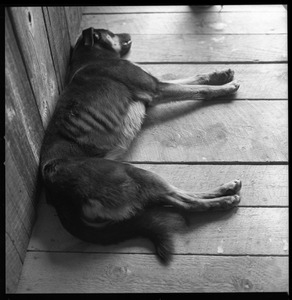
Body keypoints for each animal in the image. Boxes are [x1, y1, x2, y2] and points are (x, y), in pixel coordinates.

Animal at [40, 27, 242, 262]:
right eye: (110, 33)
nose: (127, 33)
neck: (91, 58)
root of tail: (58, 198)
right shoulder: (156, 89)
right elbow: (199, 90)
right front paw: (225, 88)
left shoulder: (157, 83)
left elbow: (195, 78)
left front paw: (220, 75)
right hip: (132, 173)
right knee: (181, 200)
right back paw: (224, 199)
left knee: (173, 198)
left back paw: (225, 190)